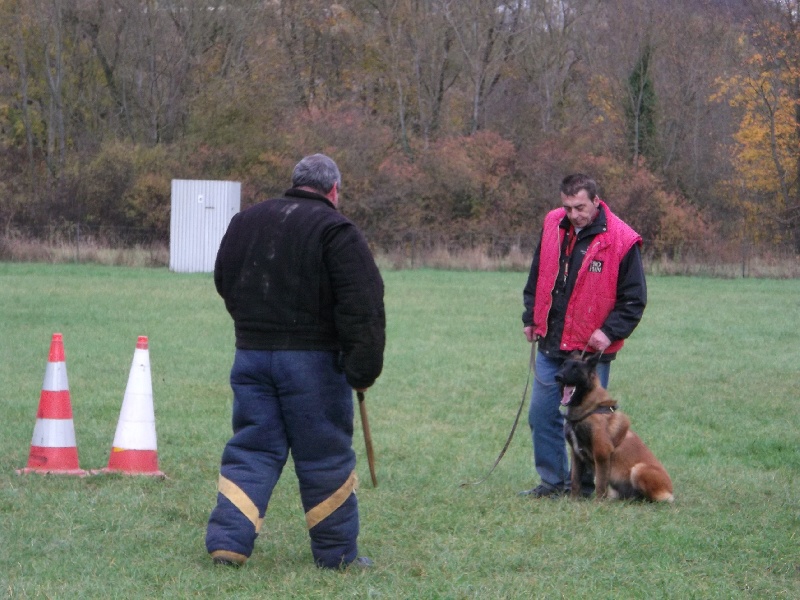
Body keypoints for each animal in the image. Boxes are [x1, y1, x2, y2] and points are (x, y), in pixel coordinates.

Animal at [556, 352, 676, 502]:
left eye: (576, 368)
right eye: (563, 365)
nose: (557, 376)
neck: (589, 409)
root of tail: (670, 490)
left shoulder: (602, 452)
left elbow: (600, 484)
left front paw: (598, 504)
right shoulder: (576, 454)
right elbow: (575, 481)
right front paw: (573, 501)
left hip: (638, 470)